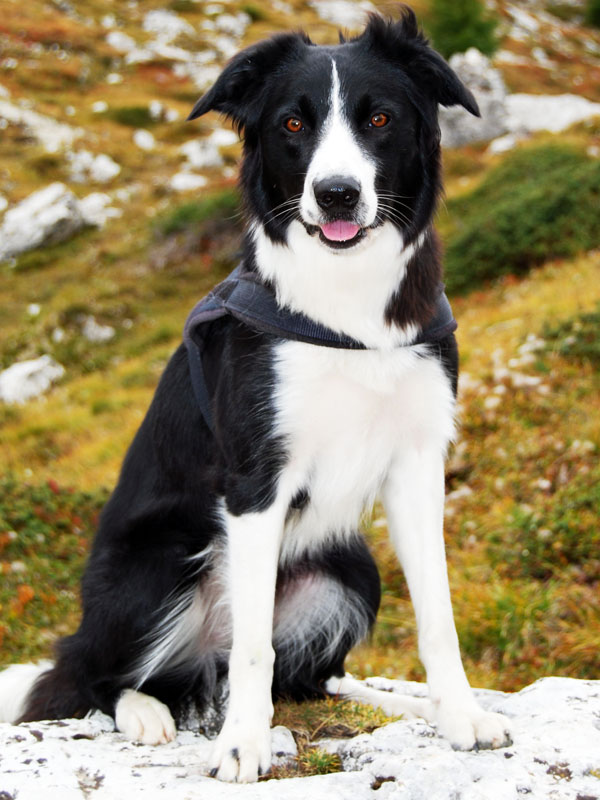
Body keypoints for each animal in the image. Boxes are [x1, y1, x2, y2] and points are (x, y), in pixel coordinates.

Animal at [2, 6, 512, 780]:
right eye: (293, 124)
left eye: (381, 118)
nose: (337, 194)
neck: (344, 316)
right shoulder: (254, 481)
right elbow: (251, 648)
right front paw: (242, 744)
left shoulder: (418, 465)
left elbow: (437, 616)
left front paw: (459, 714)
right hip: (158, 564)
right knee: (88, 673)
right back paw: (145, 711)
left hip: (350, 569)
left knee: (310, 678)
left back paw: (391, 700)